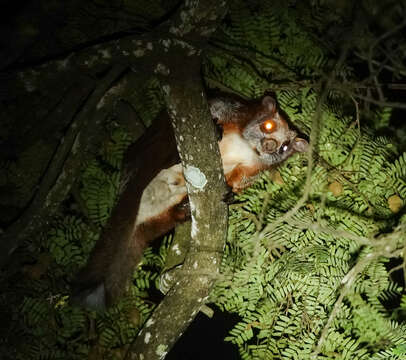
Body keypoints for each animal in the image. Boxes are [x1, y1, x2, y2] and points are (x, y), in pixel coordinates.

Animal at [72, 91, 308, 308]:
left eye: (285, 147)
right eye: (268, 126)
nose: (270, 146)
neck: (247, 148)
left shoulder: (253, 168)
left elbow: (240, 181)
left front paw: (231, 193)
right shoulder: (235, 110)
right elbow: (210, 107)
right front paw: (215, 126)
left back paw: (183, 209)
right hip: (146, 154)